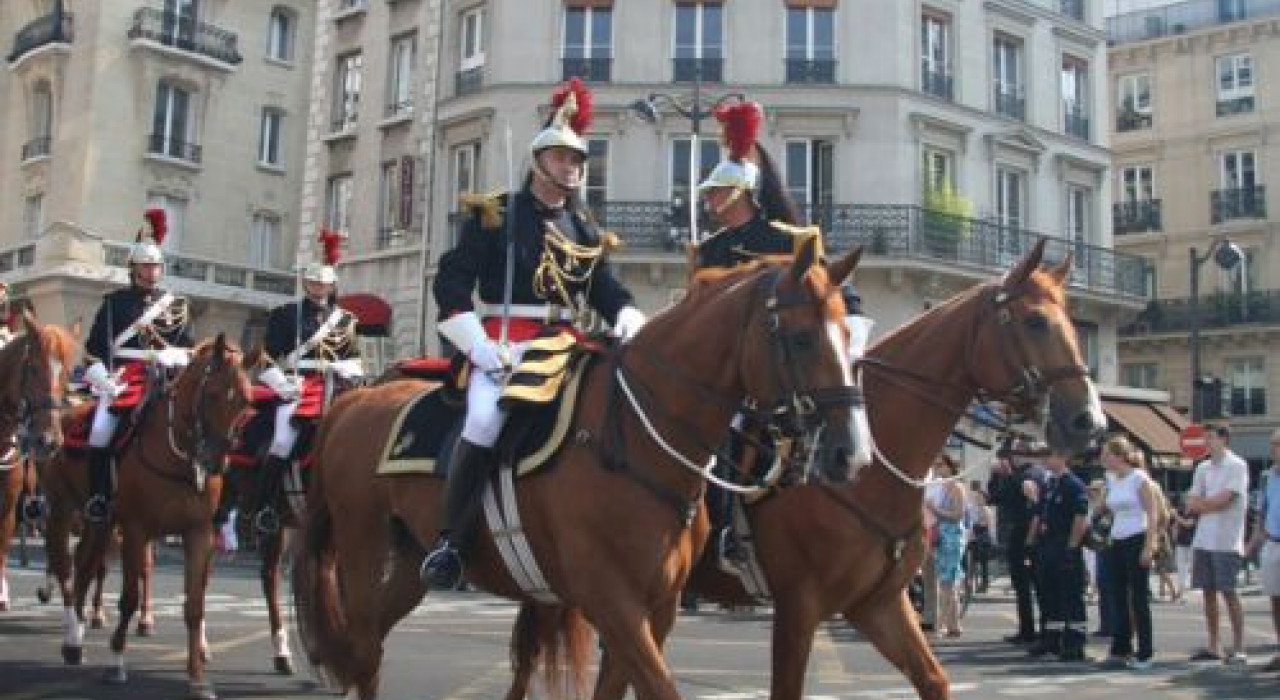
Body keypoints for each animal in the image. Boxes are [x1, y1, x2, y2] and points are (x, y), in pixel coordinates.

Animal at [43, 335, 257, 700]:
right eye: (212, 394)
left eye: (246, 399)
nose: (215, 461)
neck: (179, 455)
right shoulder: (136, 529)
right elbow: (128, 598)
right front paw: (116, 662)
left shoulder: (198, 532)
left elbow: (195, 605)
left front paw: (198, 678)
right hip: (62, 510)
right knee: (65, 567)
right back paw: (72, 637)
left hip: (100, 520)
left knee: (85, 565)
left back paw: (77, 639)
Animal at [291, 241, 870, 700]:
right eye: (801, 337)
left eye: (849, 334)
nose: (852, 454)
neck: (635, 437)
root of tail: (357, 400)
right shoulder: (611, 600)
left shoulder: (656, 607)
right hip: (363, 554)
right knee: (365, 648)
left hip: (410, 563)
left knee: (369, 652)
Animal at [509, 236, 1111, 700]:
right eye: (1035, 323)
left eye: (1073, 326)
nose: (1091, 423)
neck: (878, 463)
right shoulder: (800, 606)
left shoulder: (877, 603)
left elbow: (934, 679)